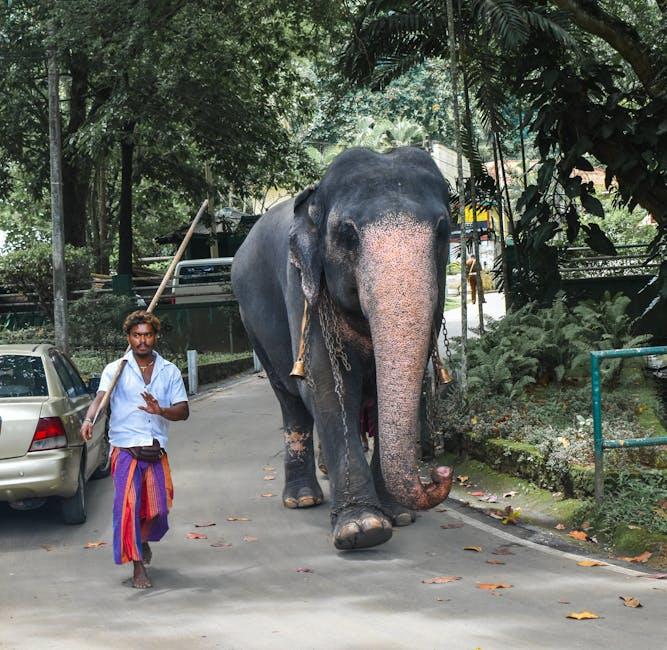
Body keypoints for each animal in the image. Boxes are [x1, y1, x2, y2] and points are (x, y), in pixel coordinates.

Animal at [232, 146, 456, 548]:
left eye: (444, 231)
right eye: (347, 234)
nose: (440, 474)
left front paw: (398, 516)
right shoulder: (303, 290)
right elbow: (325, 388)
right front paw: (363, 528)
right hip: (250, 321)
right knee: (290, 400)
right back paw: (303, 499)